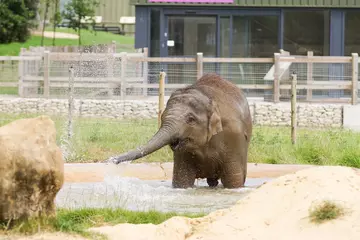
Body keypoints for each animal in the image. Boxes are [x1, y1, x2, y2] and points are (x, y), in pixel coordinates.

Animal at [108, 73, 252, 189]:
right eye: (163, 116)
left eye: (191, 119)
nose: (111, 160)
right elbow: (182, 180)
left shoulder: (233, 136)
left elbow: (233, 181)